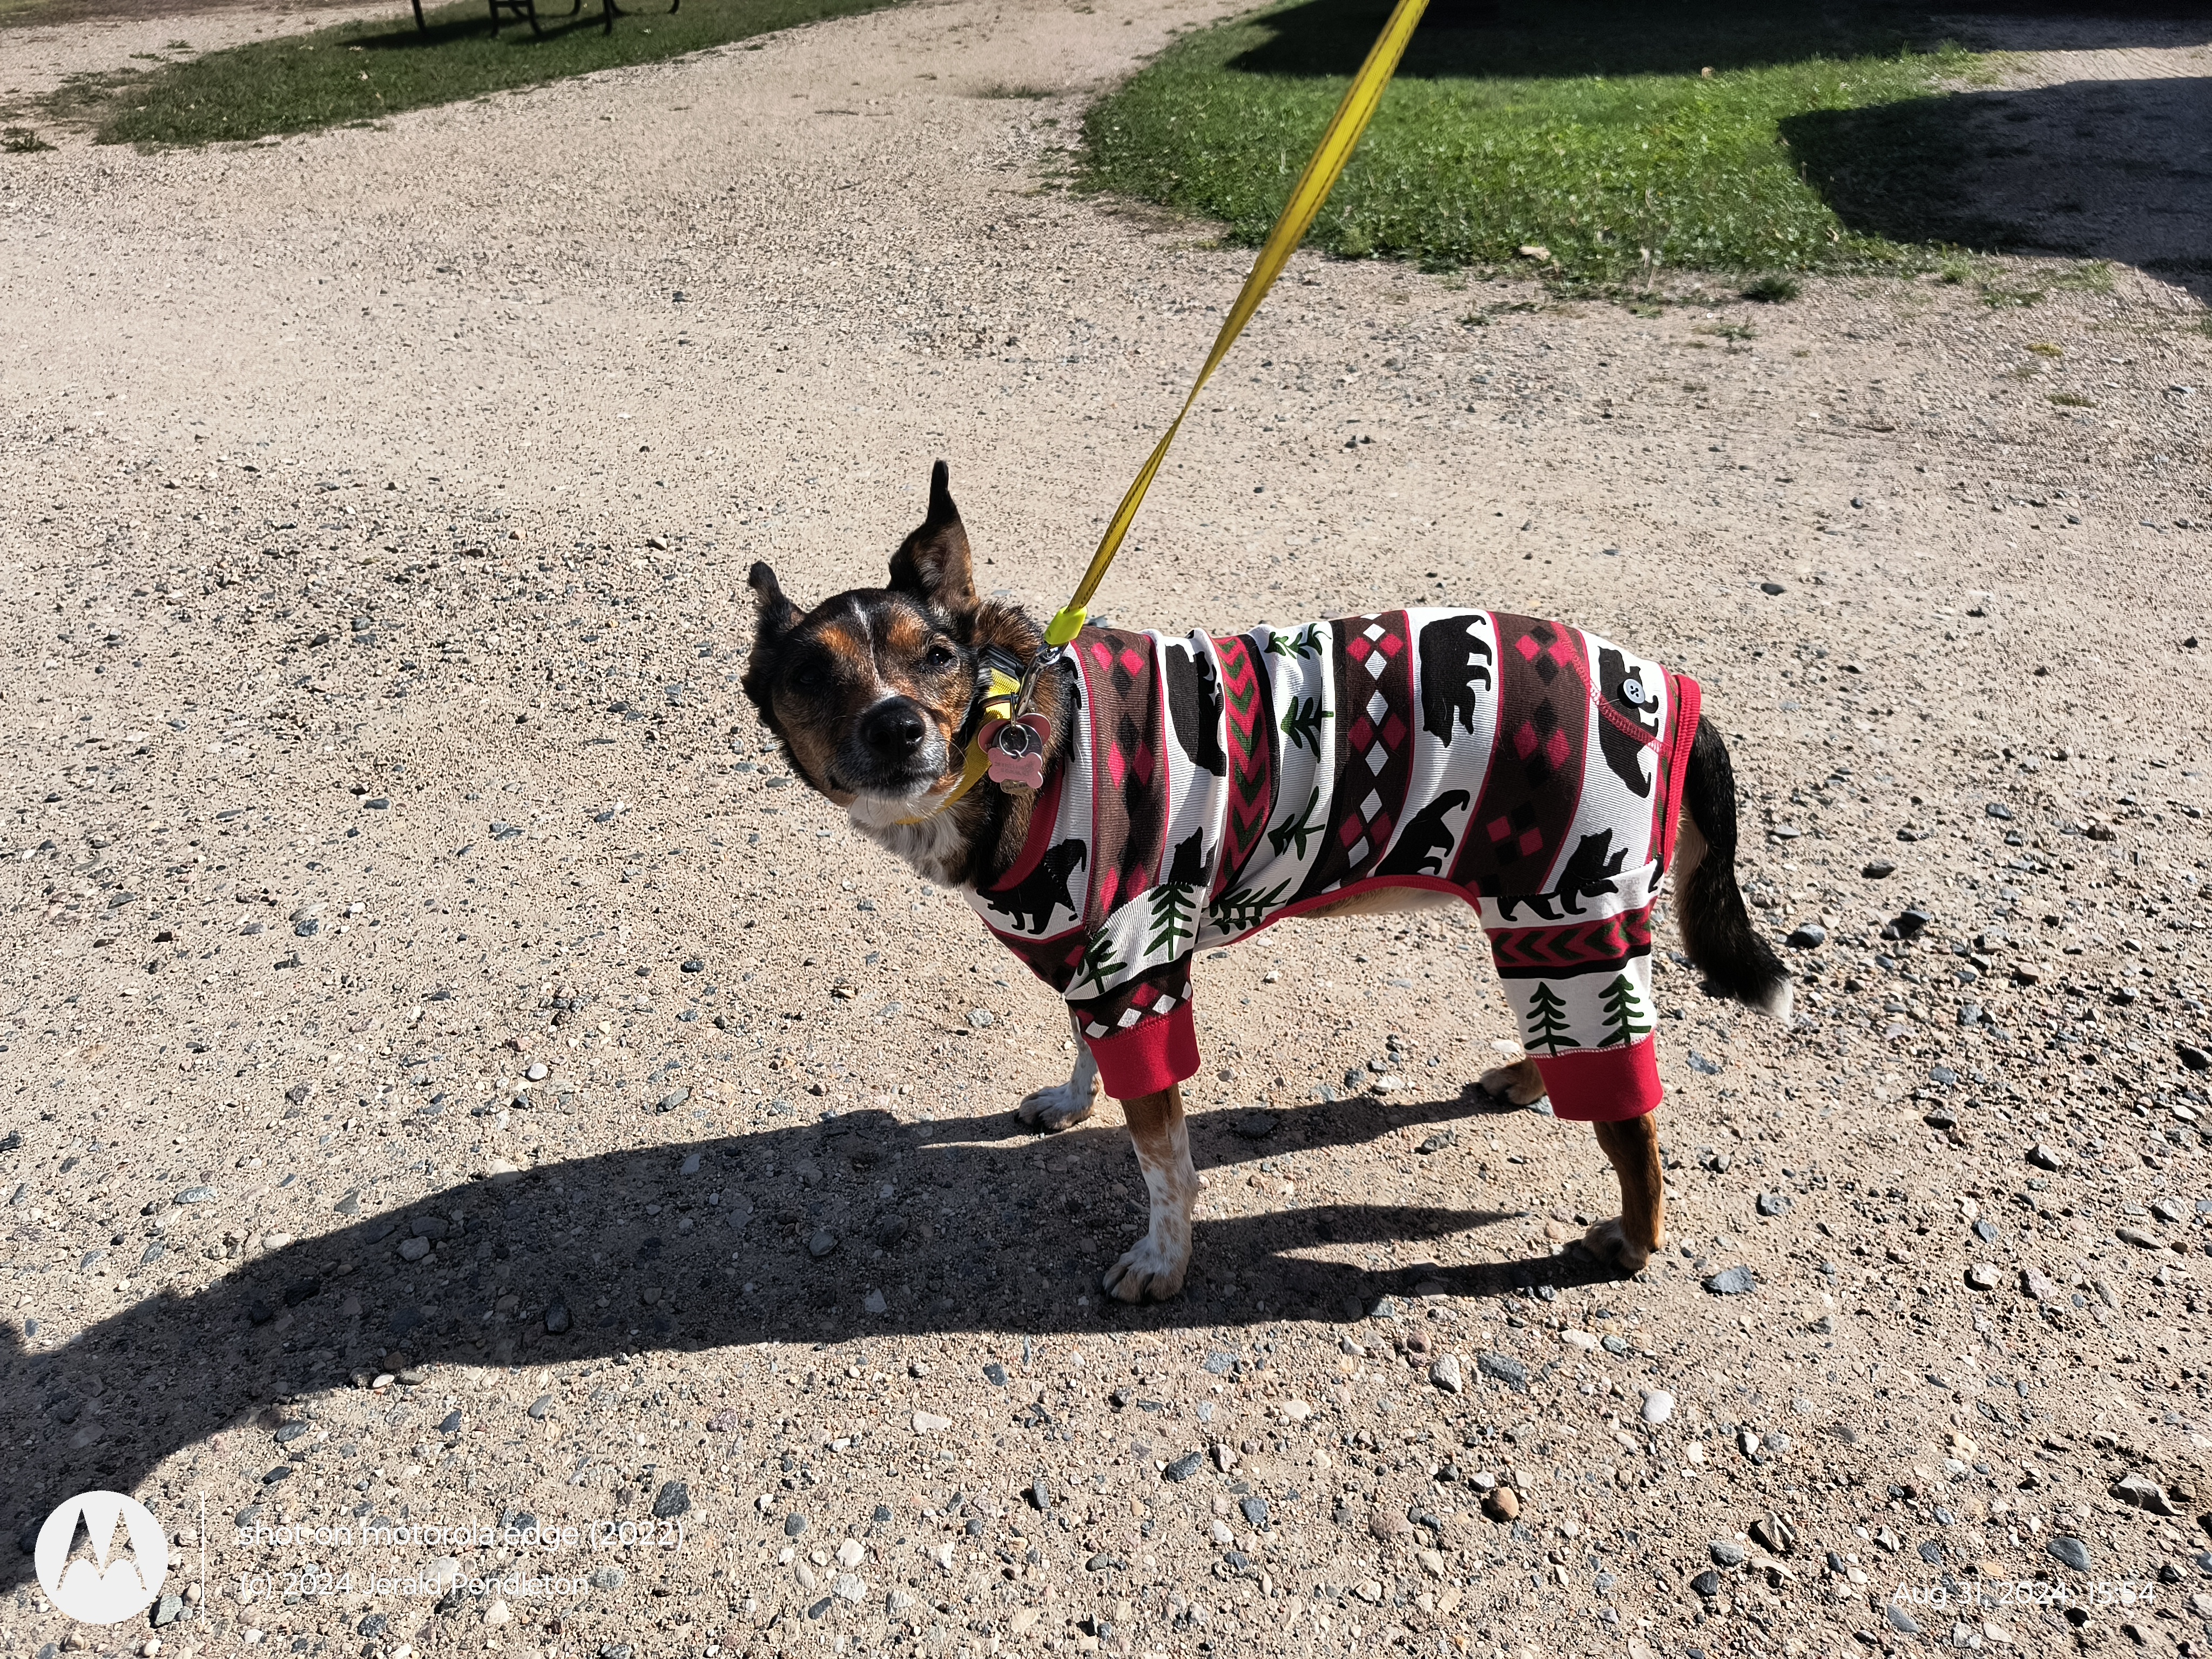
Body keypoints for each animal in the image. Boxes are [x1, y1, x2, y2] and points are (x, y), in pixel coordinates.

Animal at [747, 462, 1796, 1309]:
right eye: (810, 677)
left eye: (935, 657)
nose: (896, 728)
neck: (1009, 744)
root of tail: (1668, 687)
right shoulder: (1090, 962)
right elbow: (1088, 1054)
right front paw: (1073, 1100)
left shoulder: (1138, 974)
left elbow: (1166, 1165)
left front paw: (1163, 1262)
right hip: (1539, 919)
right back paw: (1524, 1080)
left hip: (1576, 910)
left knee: (1631, 1120)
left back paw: (1633, 1240)